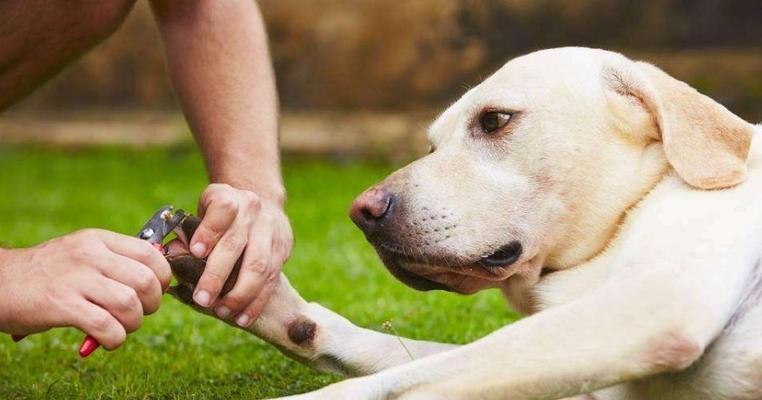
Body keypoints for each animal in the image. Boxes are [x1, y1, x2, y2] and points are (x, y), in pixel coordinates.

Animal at [165, 47, 760, 400]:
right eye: (432, 145)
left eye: (494, 120)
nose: (362, 212)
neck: (634, 205)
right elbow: (393, 355)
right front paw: (268, 299)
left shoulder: (652, 306)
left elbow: (391, 384)